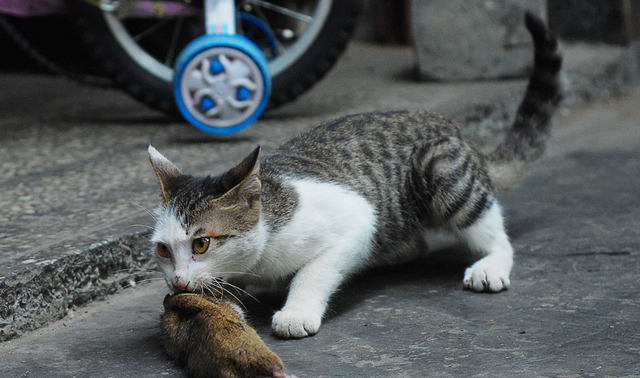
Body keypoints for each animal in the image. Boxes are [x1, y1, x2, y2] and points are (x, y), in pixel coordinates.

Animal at [149, 13, 560, 340]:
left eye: (202, 244)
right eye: (163, 250)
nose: (178, 281)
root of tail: (455, 128)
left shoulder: (356, 220)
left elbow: (314, 271)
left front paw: (297, 310)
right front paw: (215, 300)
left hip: (441, 167)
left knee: (491, 229)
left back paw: (490, 263)